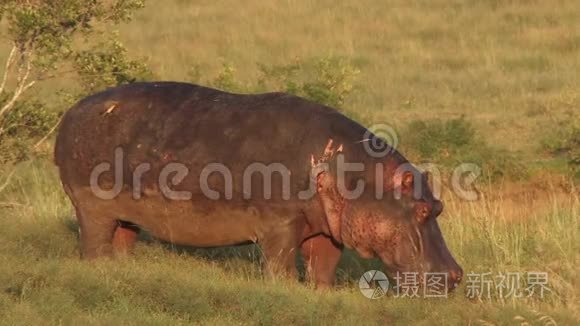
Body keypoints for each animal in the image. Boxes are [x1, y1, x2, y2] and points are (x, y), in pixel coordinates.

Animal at [54, 81, 462, 288]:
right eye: (422, 209)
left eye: (439, 206)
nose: (456, 274)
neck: (356, 174)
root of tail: (71, 111)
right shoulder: (280, 223)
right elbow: (280, 261)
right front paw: (286, 289)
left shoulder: (326, 228)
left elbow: (324, 264)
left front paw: (321, 294)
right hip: (91, 206)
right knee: (94, 240)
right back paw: (98, 268)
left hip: (126, 212)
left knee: (123, 237)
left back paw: (124, 267)